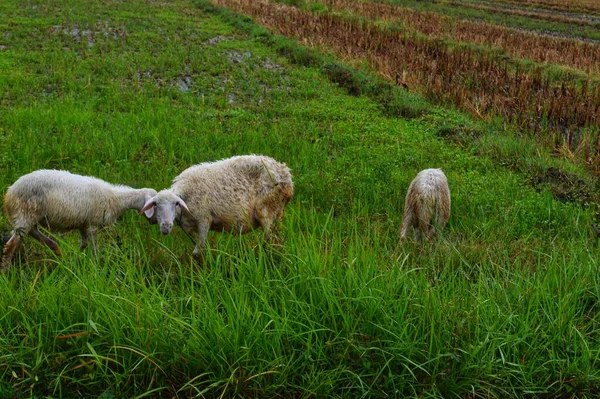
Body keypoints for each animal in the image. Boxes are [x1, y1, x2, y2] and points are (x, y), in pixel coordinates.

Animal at [1, 169, 157, 268]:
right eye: (155, 204)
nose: (155, 222)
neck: (115, 199)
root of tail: (9, 194)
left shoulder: (83, 225)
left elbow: (84, 244)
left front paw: (77, 261)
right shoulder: (93, 224)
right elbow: (93, 248)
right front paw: (96, 268)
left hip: (30, 216)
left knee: (33, 232)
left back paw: (56, 249)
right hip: (25, 213)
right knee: (10, 246)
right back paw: (6, 272)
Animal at [139, 155, 292, 258]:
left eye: (176, 203)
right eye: (155, 205)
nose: (165, 227)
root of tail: (286, 174)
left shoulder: (204, 219)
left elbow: (197, 252)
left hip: (267, 210)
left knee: (270, 241)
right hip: (278, 213)